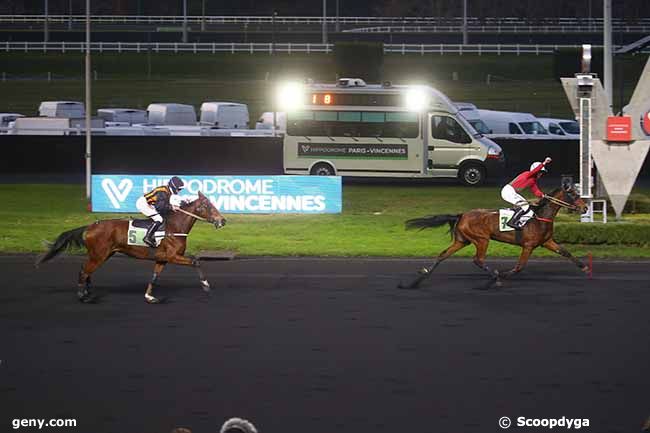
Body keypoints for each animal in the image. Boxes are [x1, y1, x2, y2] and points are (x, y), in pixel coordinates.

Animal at [36, 191, 228, 302]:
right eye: (207, 206)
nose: (223, 220)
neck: (174, 227)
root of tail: (90, 226)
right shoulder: (173, 256)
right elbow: (195, 261)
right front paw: (206, 285)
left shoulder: (162, 258)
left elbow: (155, 277)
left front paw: (149, 296)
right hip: (99, 255)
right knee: (84, 270)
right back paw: (82, 295)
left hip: (103, 254)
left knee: (87, 270)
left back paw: (88, 291)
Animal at [398, 181, 588, 288]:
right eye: (573, 194)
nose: (585, 207)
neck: (540, 216)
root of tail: (462, 214)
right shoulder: (528, 246)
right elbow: (519, 266)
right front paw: (502, 275)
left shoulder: (547, 241)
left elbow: (566, 252)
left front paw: (584, 267)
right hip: (482, 239)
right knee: (478, 259)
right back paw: (494, 277)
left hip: (462, 241)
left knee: (443, 255)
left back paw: (418, 279)